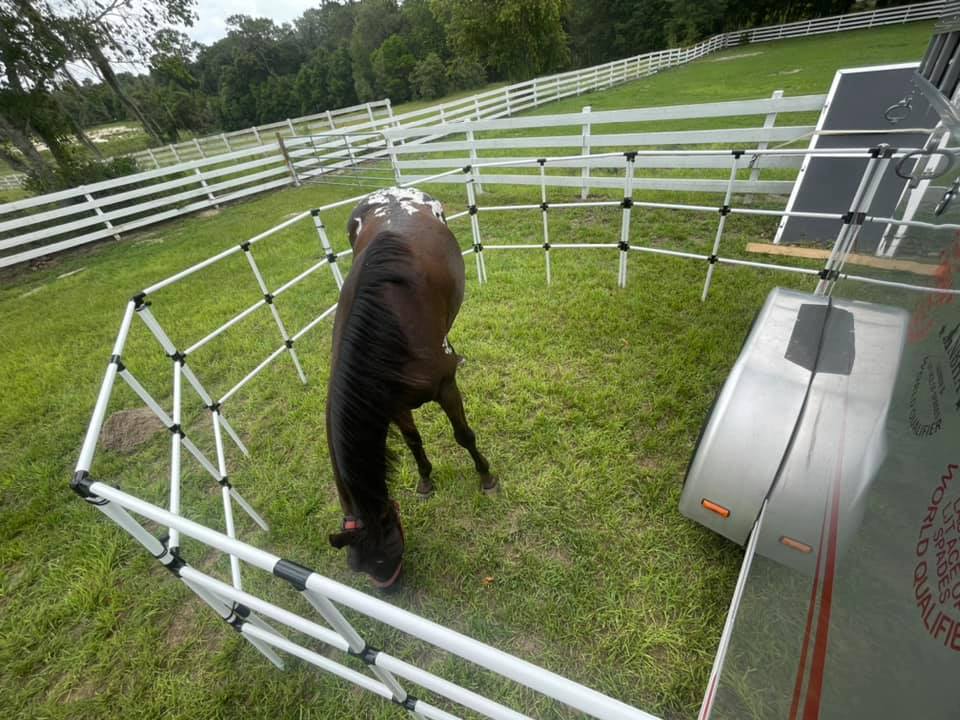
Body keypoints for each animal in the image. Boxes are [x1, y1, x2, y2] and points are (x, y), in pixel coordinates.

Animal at [326, 188, 498, 588]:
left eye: (387, 551)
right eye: (360, 567)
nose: (392, 592)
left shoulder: (446, 387)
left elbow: (463, 435)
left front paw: (485, 477)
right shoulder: (392, 404)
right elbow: (413, 441)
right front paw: (425, 481)